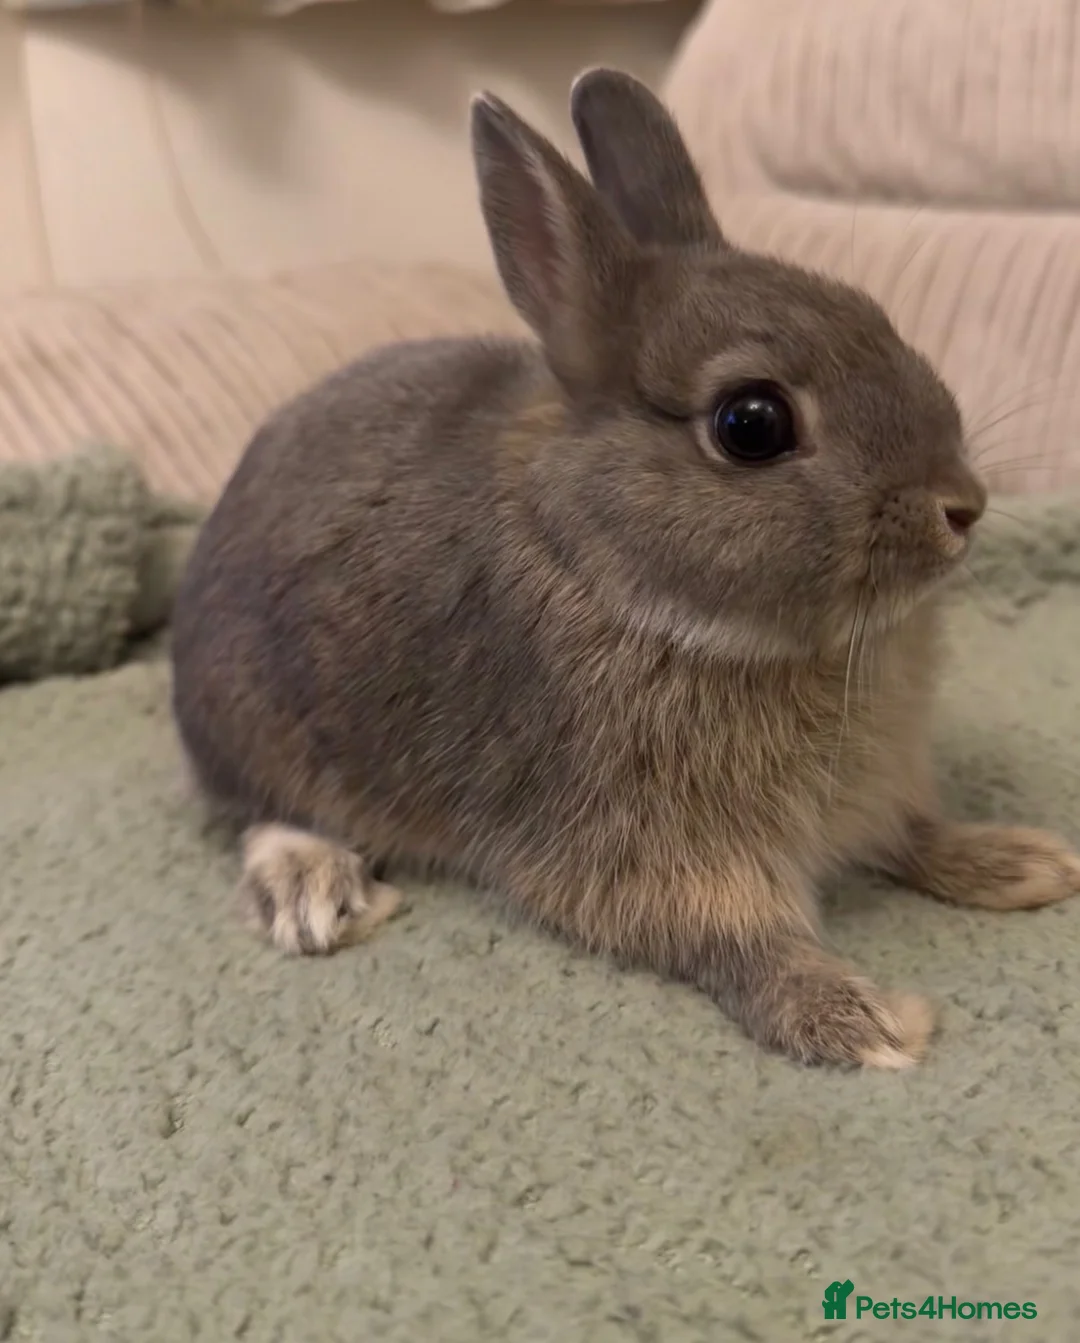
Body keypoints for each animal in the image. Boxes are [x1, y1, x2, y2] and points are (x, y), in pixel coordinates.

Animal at [170, 68, 1080, 1068]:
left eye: (875, 314)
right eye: (751, 423)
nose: (962, 504)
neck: (616, 572)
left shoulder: (874, 794)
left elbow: (915, 832)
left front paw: (1026, 862)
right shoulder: (636, 848)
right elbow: (731, 939)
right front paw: (858, 1019)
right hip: (257, 725)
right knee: (258, 811)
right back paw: (313, 888)